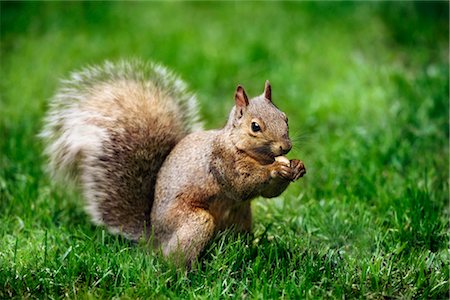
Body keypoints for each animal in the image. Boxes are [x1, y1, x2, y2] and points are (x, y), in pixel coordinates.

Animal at [40, 59, 306, 266]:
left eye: (285, 117)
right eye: (255, 126)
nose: (285, 147)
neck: (249, 152)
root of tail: (155, 239)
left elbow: (269, 193)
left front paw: (296, 166)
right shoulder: (220, 161)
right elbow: (241, 185)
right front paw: (276, 169)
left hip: (240, 220)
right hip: (195, 222)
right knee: (173, 260)